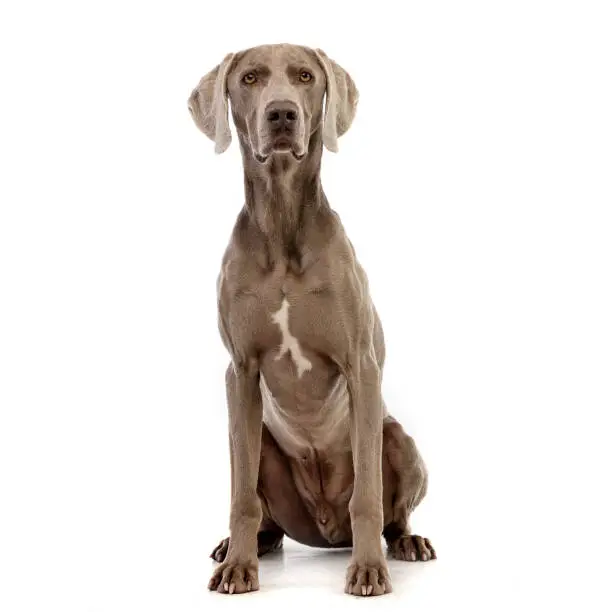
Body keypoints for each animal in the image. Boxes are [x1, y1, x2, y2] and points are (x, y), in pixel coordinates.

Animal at [189, 43, 432, 596]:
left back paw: (405, 542)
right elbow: (241, 497)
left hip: (399, 439)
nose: (282, 114)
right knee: (261, 509)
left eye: (305, 77)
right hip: (259, 443)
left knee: (392, 511)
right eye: (250, 78)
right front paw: (238, 568)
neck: (282, 226)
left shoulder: (361, 365)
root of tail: (325, 530)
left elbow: (368, 495)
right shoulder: (240, 372)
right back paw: (242, 547)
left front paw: (368, 569)